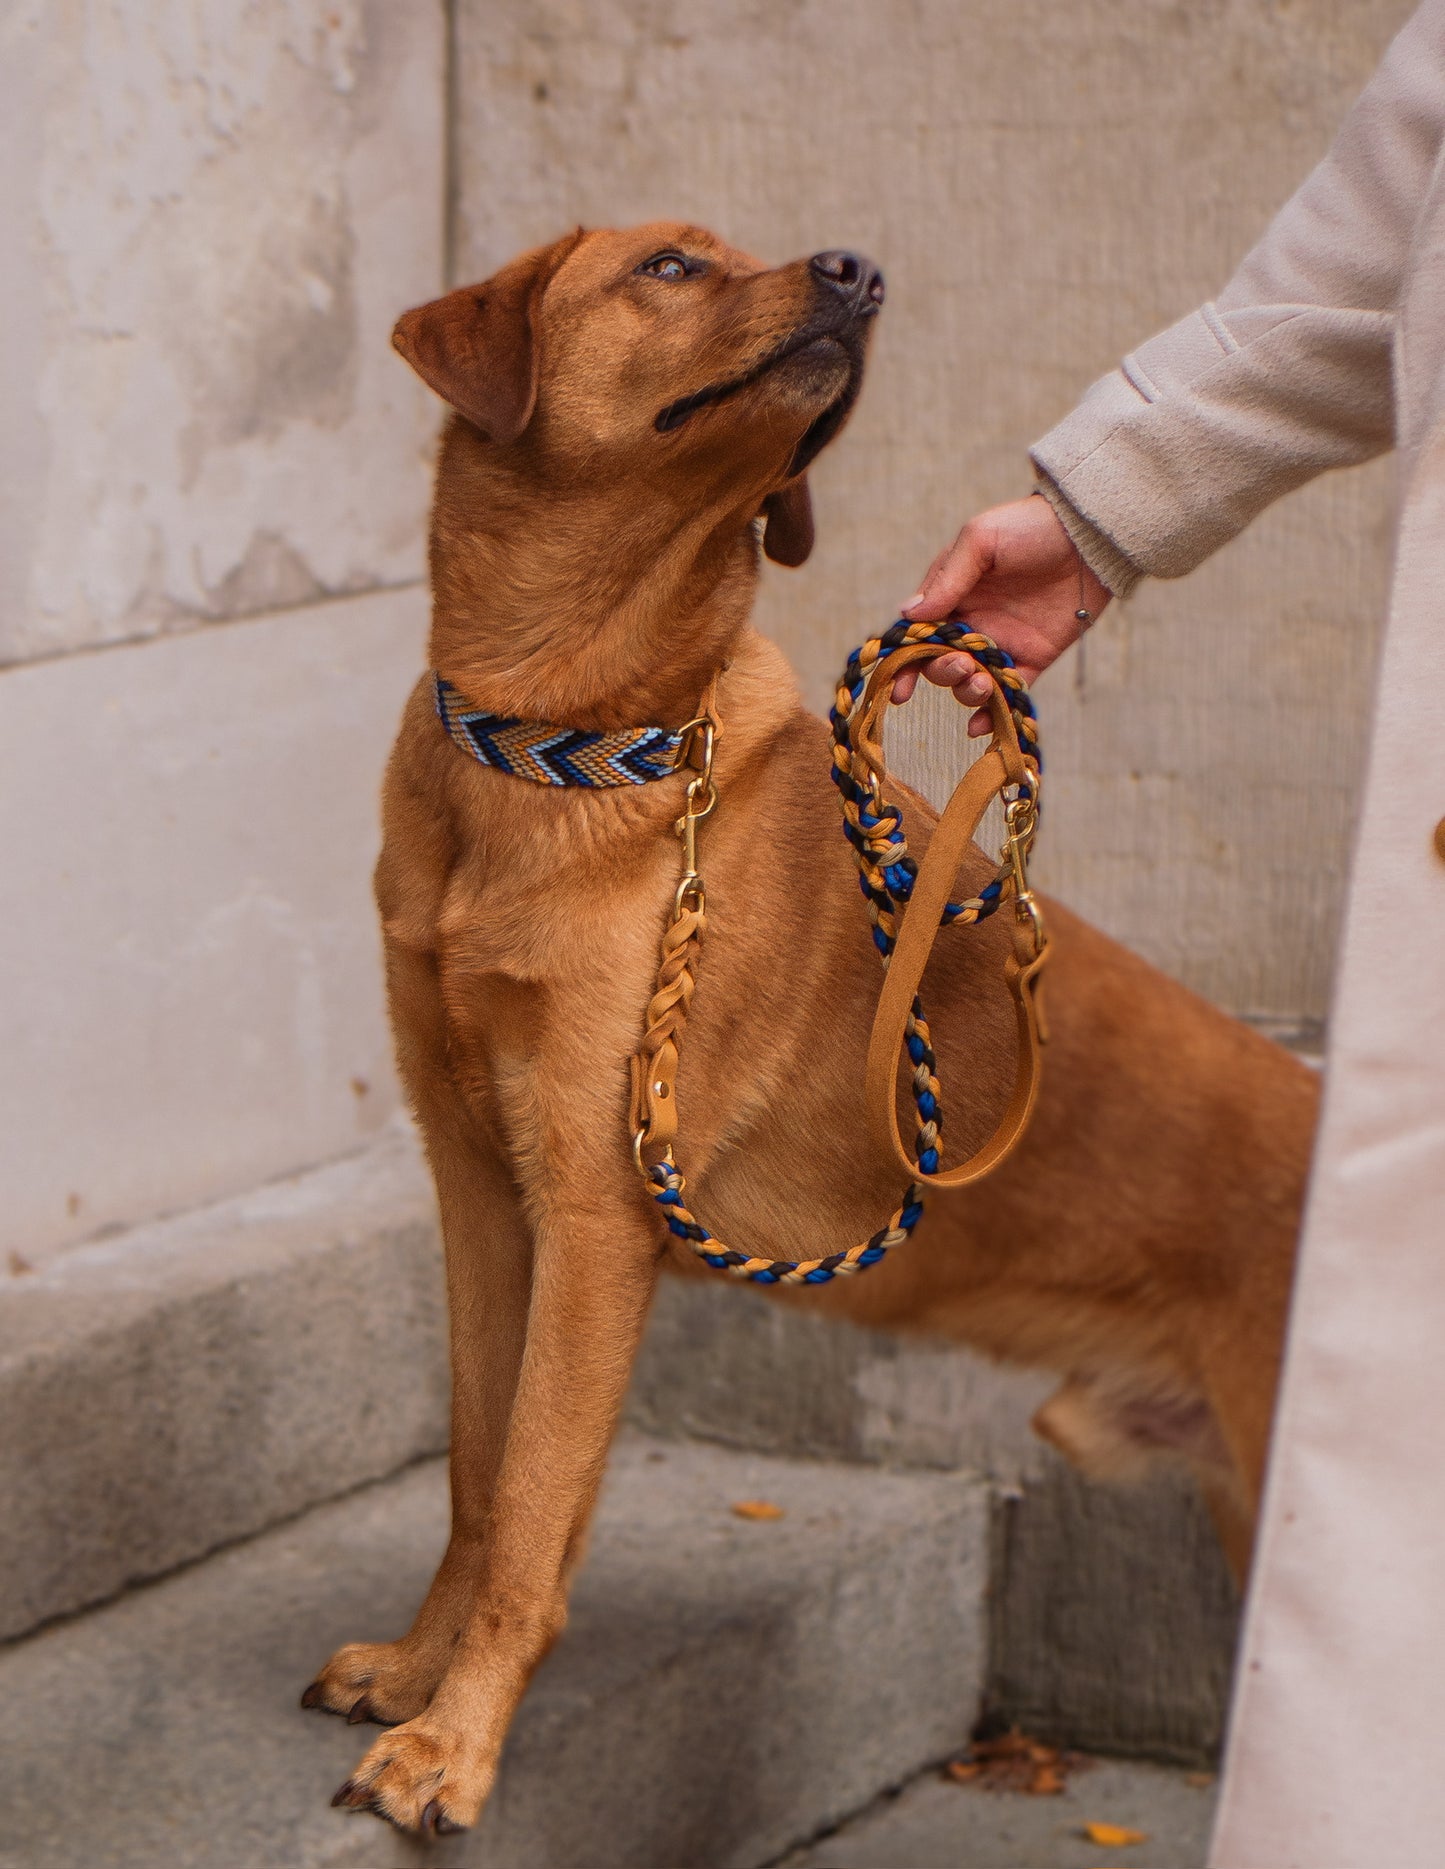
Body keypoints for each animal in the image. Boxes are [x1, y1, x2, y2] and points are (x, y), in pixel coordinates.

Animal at [299, 226, 1316, 1831]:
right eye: (668, 266)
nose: (860, 268)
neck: (563, 740)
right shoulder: (477, 1185)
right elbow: (474, 1470)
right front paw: (414, 1675)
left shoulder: (592, 1210)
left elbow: (529, 1504)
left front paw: (451, 1747)